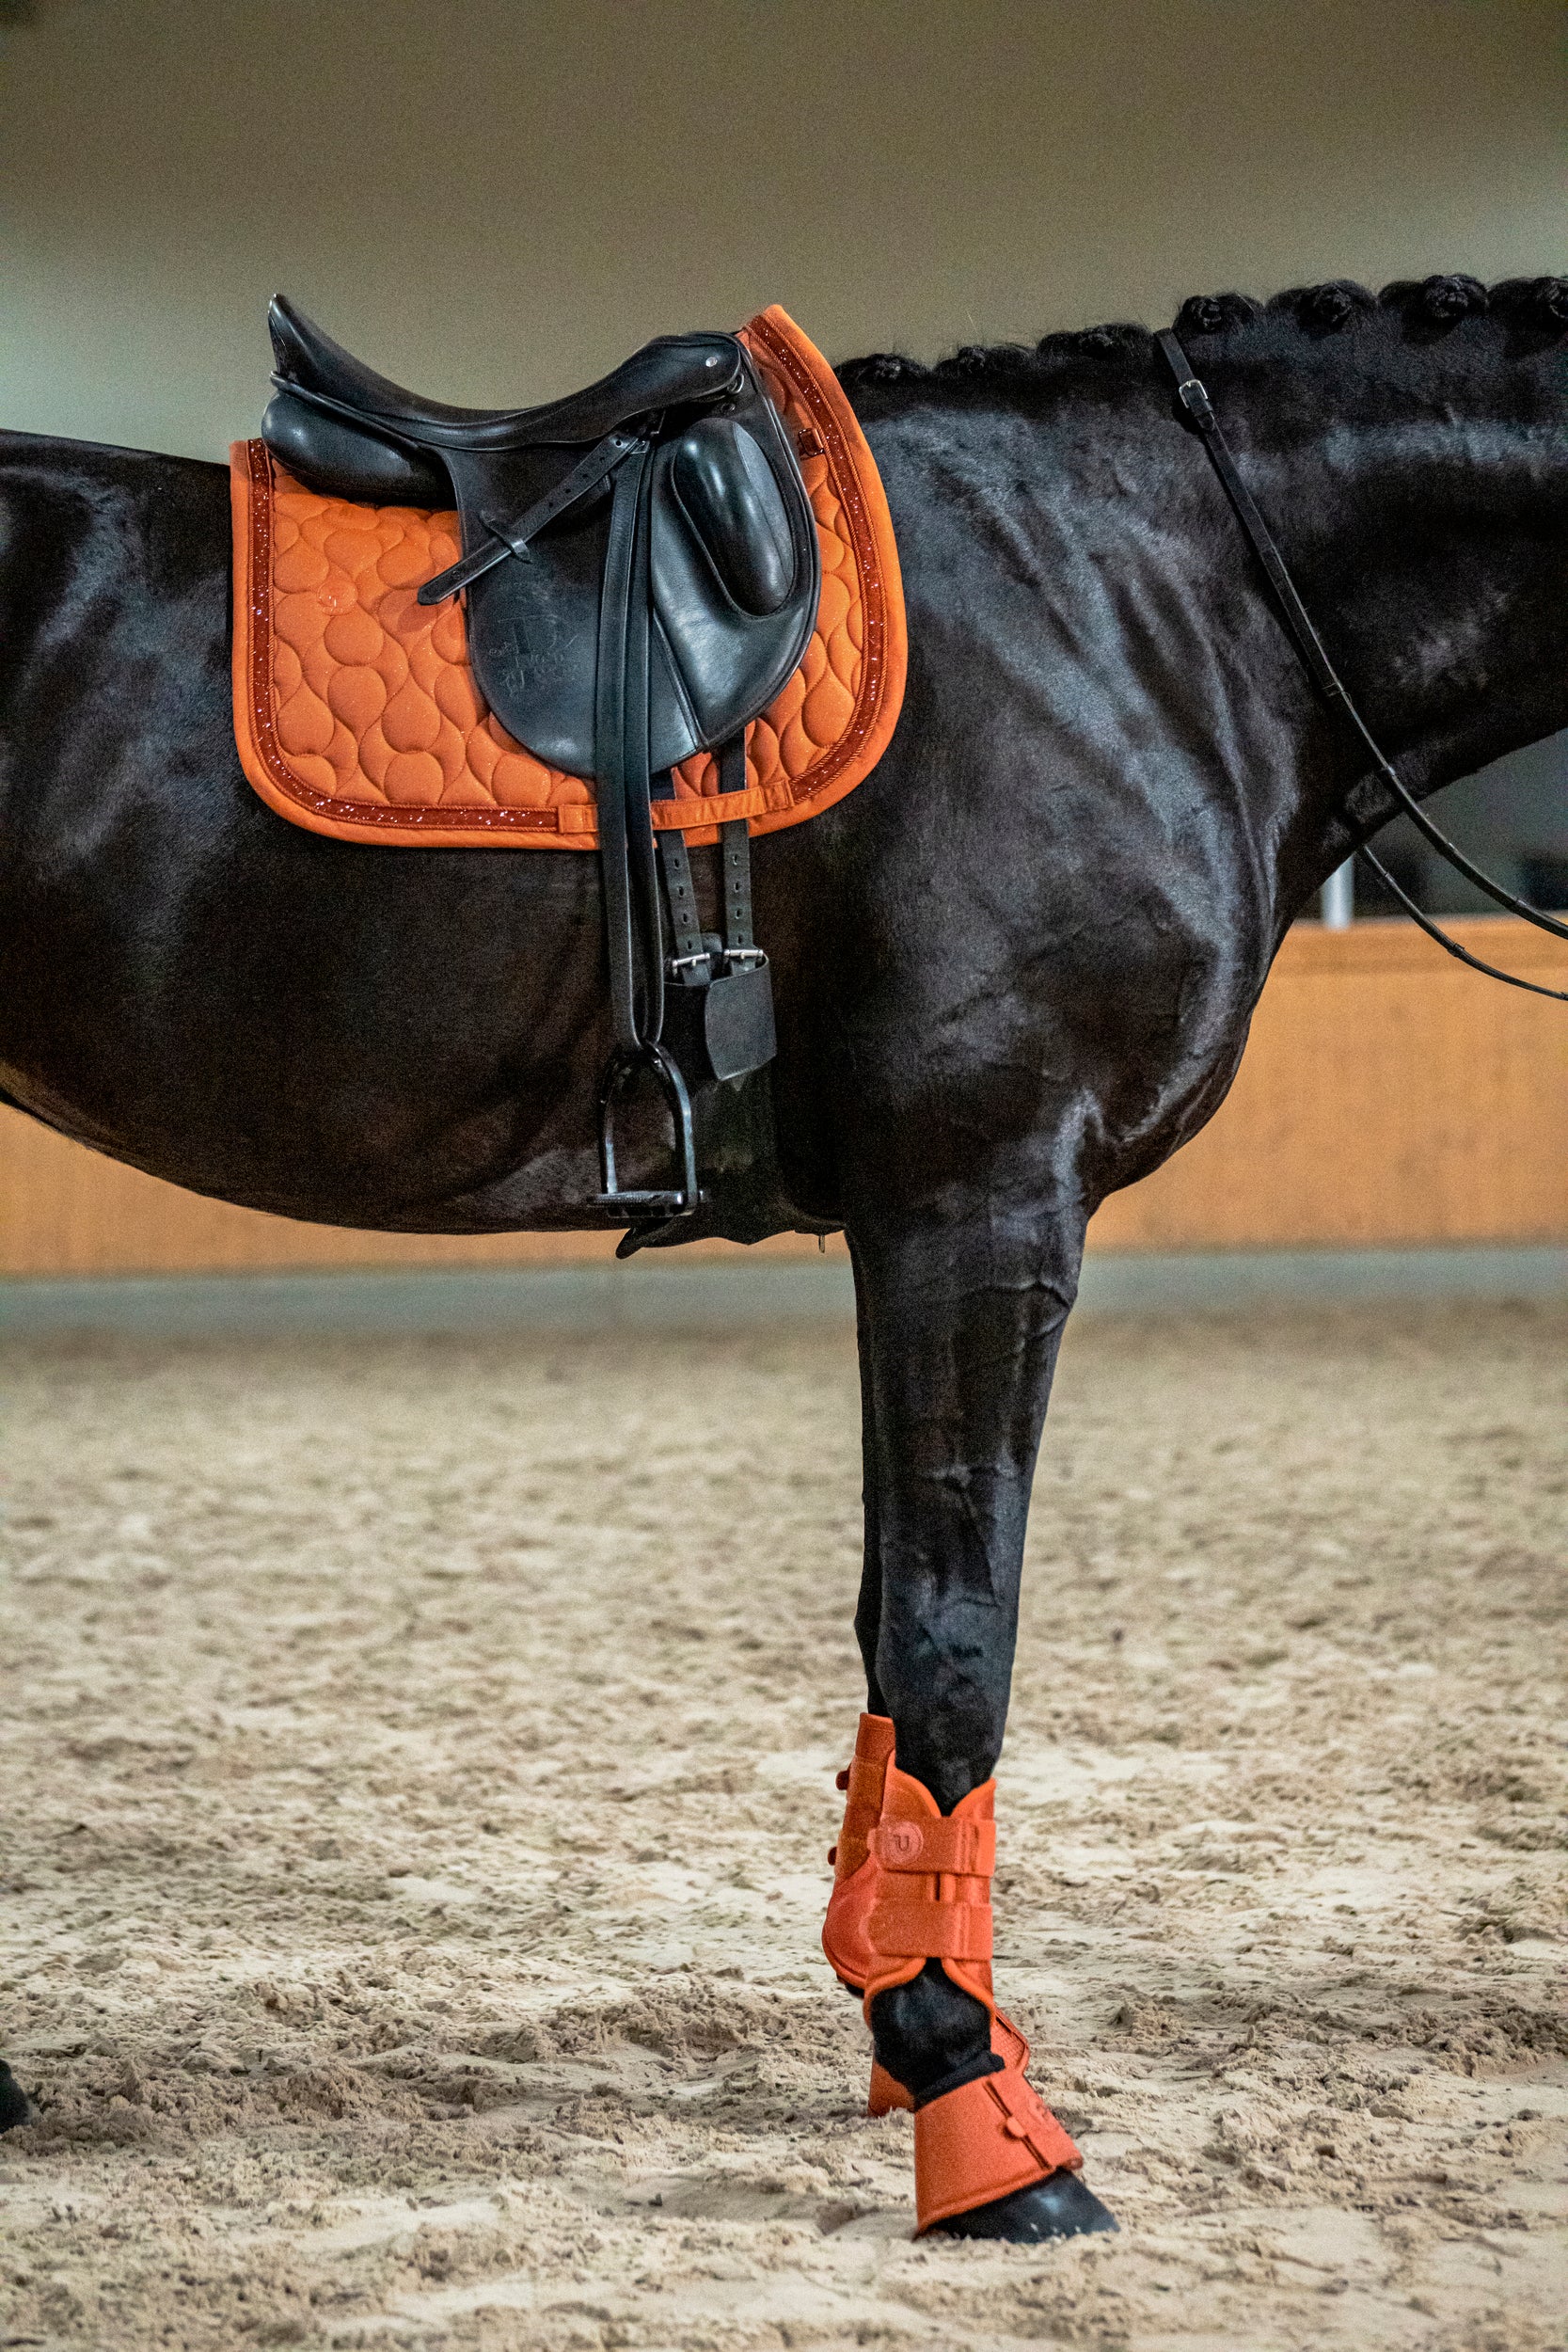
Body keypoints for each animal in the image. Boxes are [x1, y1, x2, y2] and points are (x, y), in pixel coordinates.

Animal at [2, 271, 1564, 2238]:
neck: (1158, 595)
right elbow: (954, 1643)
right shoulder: (981, 1195)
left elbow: (902, 1632)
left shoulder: (928, 1217)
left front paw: (914, 2030)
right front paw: (980, 2115)